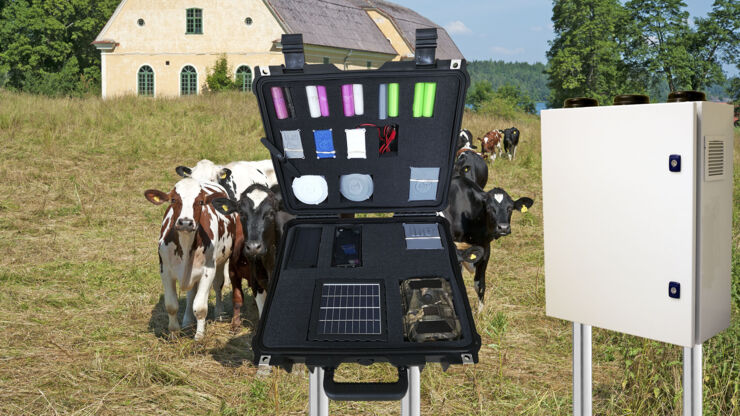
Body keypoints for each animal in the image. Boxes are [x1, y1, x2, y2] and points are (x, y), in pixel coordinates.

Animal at [145, 180, 237, 342]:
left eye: (200, 202)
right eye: (173, 200)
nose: (186, 222)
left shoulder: (208, 271)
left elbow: (200, 307)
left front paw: (199, 336)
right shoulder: (165, 271)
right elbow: (171, 305)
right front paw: (174, 333)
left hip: (221, 262)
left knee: (217, 286)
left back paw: (219, 314)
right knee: (191, 294)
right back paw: (187, 321)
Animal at [442, 176, 536, 308]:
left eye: (510, 208)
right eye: (489, 208)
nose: (503, 227)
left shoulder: (485, 248)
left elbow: (480, 285)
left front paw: (481, 311)